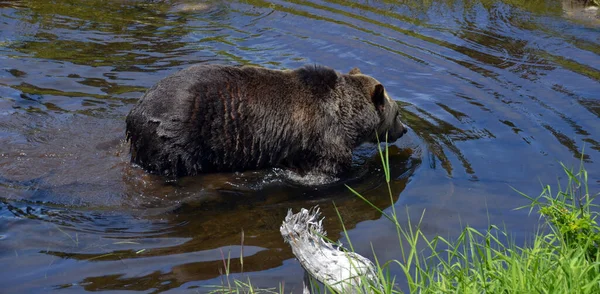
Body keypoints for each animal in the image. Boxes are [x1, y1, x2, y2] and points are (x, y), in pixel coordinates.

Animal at [126, 64, 408, 178]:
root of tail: (134, 112)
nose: (404, 129)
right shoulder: (324, 138)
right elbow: (330, 167)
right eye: (397, 114)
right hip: (176, 136)